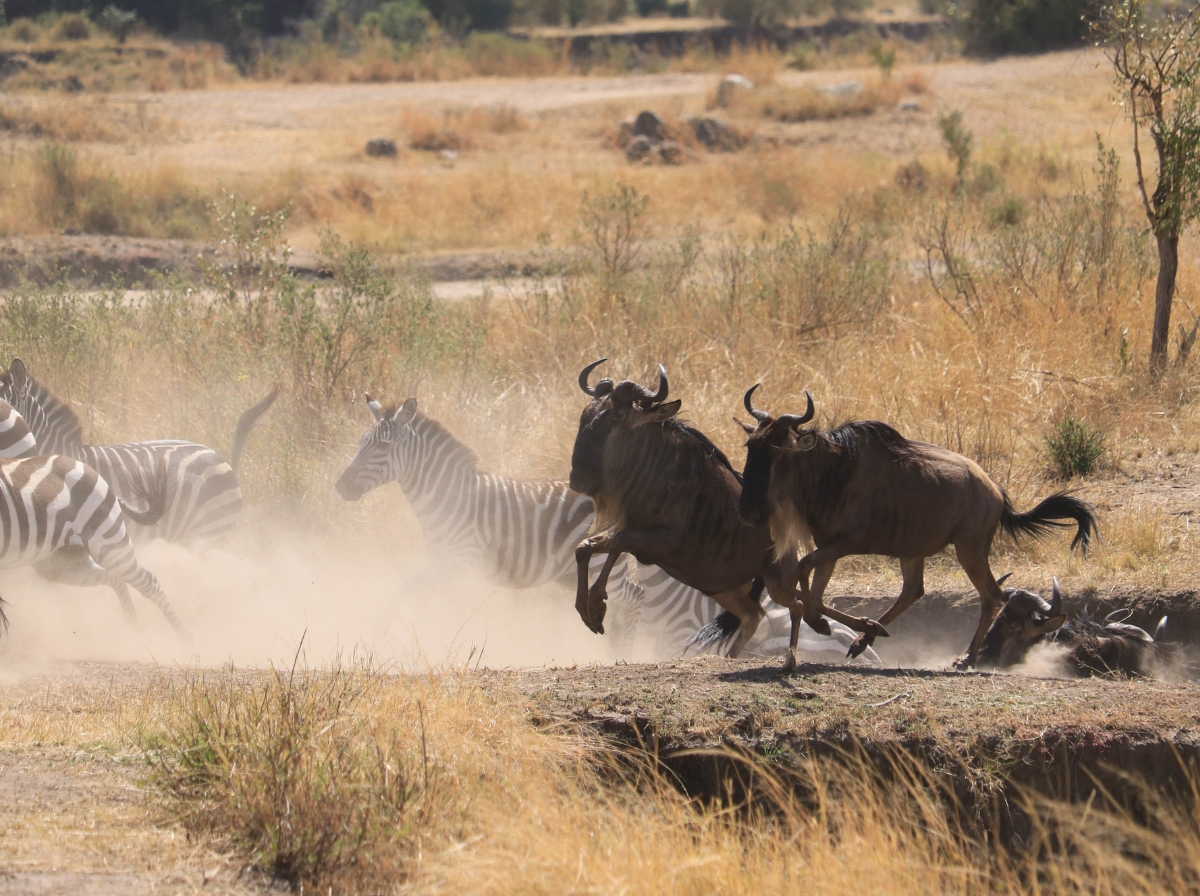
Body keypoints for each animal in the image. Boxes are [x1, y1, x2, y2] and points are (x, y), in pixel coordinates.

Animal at [0, 452, 185, 635]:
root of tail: (83, 465)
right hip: (60, 564)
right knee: (116, 580)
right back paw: (133, 631)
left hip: (109, 543)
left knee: (149, 584)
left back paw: (183, 637)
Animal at [334, 395, 722, 656]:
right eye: (361, 444)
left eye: (383, 446)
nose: (340, 487)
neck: (447, 496)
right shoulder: (443, 564)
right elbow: (423, 597)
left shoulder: (459, 562)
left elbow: (403, 589)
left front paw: (374, 635)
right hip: (571, 572)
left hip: (601, 565)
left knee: (636, 598)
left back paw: (617, 654)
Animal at [737, 387, 1096, 668]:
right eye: (751, 447)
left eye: (778, 451)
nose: (747, 512)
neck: (832, 471)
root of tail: (995, 492)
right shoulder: (829, 546)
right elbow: (815, 590)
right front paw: (840, 626)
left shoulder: (847, 543)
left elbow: (802, 570)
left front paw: (823, 625)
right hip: (914, 551)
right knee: (914, 591)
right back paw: (867, 638)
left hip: (969, 548)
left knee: (991, 596)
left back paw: (965, 658)